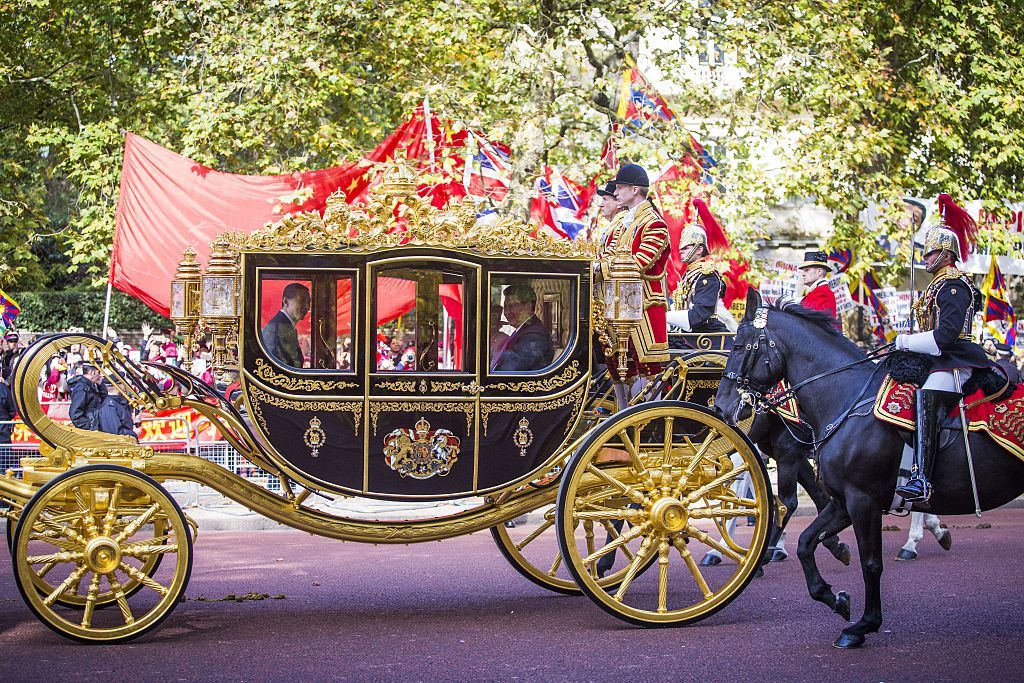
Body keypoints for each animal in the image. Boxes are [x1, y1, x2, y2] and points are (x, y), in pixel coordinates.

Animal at [712, 290, 1024, 651]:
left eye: (737, 345)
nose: (720, 407)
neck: (847, 399)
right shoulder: (842, 500)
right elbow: (806, 540)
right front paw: (836, 598)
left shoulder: (861, 498)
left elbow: (869, 562)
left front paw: (863, 625)